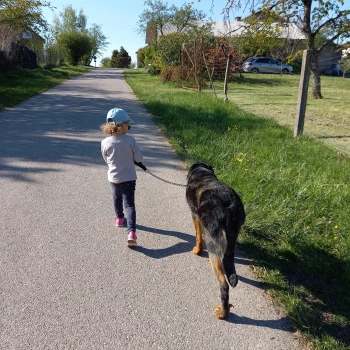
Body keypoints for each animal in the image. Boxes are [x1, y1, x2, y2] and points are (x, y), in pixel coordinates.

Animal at [186, 163, 246, 318]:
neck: (203, 173)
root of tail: (229, 206)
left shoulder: (195, 215)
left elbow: (198, 236)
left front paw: (197, 250)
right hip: (232, 235)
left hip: (212, 237)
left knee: (223, 285)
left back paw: (223, 313)